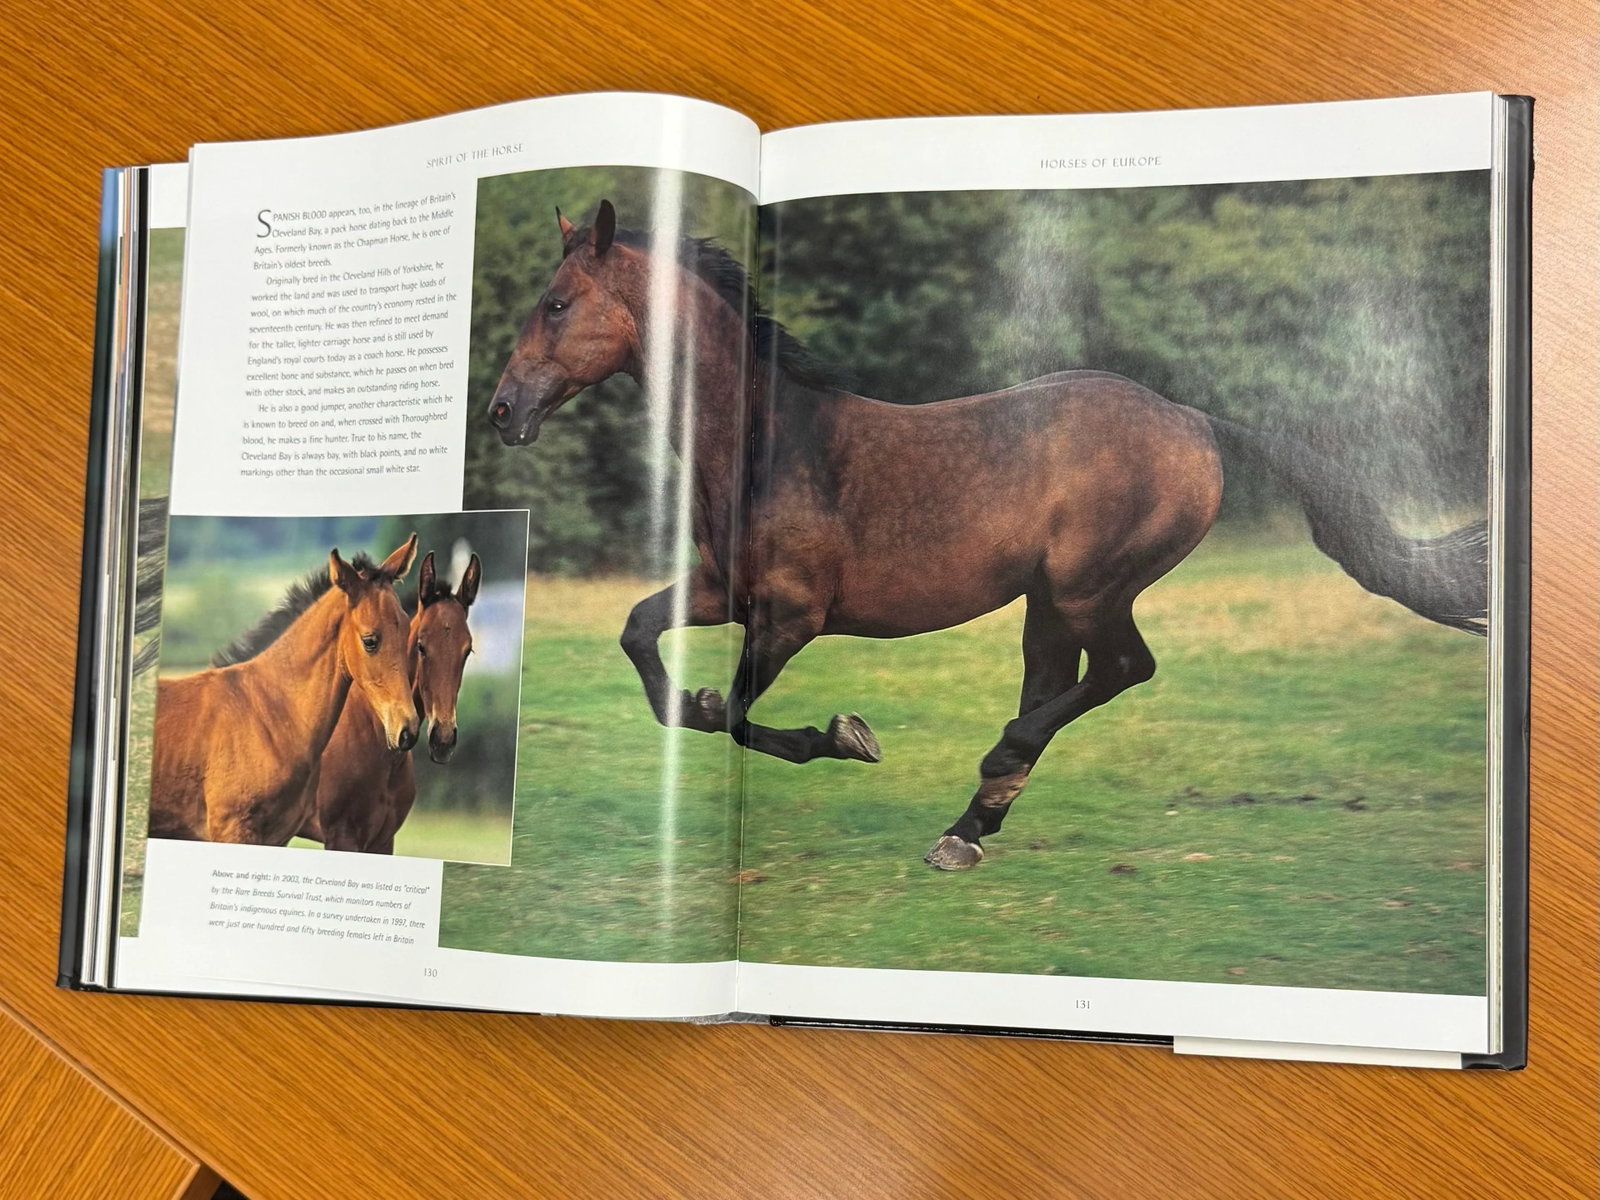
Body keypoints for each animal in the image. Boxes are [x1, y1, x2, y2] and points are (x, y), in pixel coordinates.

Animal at [486, 200, 1488, 871]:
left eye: (557, 303)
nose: (502, 412)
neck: (772, 440)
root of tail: (1197, 421)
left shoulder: (792, 616)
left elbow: (734, 715)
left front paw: (846, 734)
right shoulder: (723, 591)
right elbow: (643, 643)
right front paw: (695, 701)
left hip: (1091, 587)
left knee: (1120, 671)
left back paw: (990, 780)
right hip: (1048, 599)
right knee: (1063, 681)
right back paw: (972, 824)